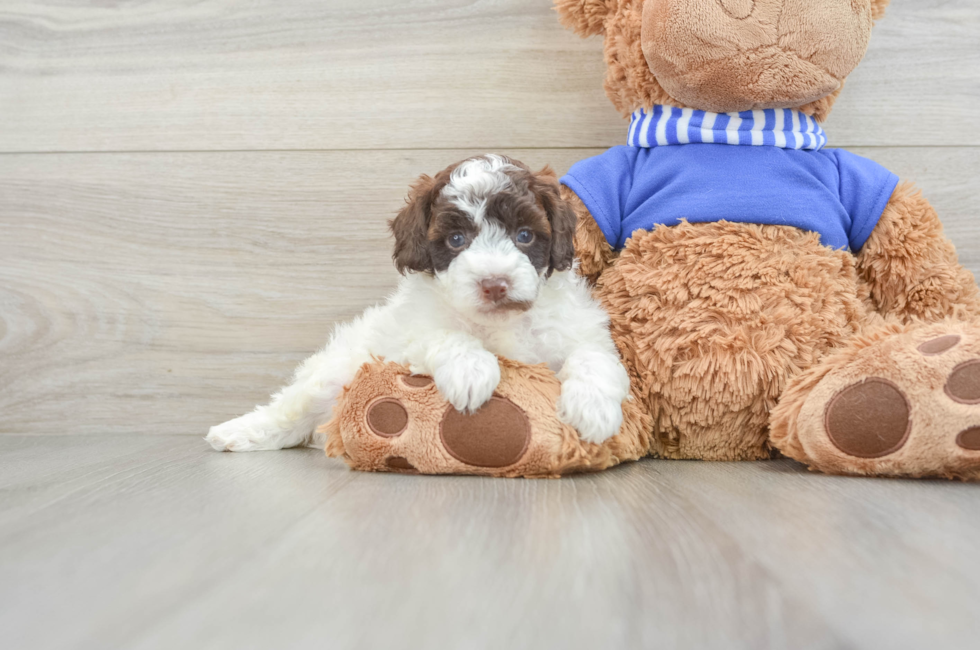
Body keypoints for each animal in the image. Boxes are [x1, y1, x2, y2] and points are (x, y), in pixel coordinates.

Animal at [211, 153, 632, 450]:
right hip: (334, 371)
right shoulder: (405, 340)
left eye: (525, 235)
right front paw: (472, 373)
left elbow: (593, 356)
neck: (500, 322)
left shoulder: (580, 330)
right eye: (456, 240)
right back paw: (235, 433)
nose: (494, 285)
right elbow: (445, 336)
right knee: (290, 410)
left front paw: (593, 409)